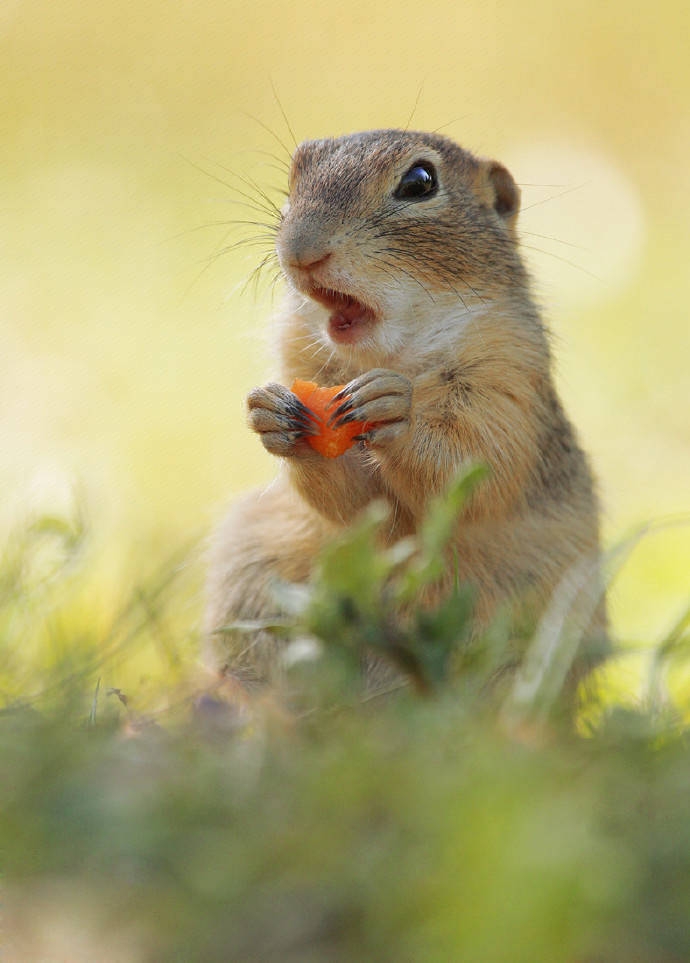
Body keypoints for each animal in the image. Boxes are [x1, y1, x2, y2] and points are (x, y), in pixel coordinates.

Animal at [202, 130, 604, 684]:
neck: (392, 355)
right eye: (295, 172)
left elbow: (477, 465)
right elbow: (355, 507)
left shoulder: (507, 378)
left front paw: (396, 408)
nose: (301, 252)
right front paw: (271, 414)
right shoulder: (299, 356)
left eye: (419, 182)